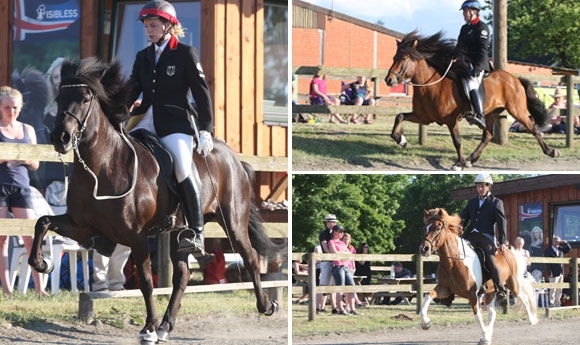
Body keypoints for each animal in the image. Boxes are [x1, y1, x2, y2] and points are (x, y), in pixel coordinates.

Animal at [29, 57, 288, 342]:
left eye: (85, 99)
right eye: (60, 97)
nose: (60, 138)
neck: (102, 167)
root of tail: (233, 157)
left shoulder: (137, 236)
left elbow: (145, 281)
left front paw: (148, 328)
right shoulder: (82, 227)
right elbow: (42, 222)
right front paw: (42, 263)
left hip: (233, 222)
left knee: (250, 257)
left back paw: (266, 305)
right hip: (178, 233)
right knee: (182, 276)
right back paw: (166, 325)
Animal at [382, 30, 560, 169]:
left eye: (403, 59)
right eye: (393, 57)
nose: (389, 80)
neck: (430, 86)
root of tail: (515, 79)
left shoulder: (451, 120)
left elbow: (457, 141)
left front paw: (459, 163)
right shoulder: (424, 117)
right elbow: (399, 117)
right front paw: (401, 140)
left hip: (517, 110)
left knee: (533, 128)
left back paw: (551, 151)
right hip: (492, 113)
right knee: (487, 135)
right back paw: (471, 159)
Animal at [420, 207, 536, 344]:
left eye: (438, 228)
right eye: (425, 228)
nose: (424, 249)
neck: (453, 262)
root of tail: (510, 251)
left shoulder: (472, 294)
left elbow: (477, 315)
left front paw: (484, 335)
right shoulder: (444, 289)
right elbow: (428, 296)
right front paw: (425, 323)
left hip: (513, 284)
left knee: (524, 299)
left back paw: (532, 320)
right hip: (491, 291)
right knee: (492, 313)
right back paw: (487, 336)